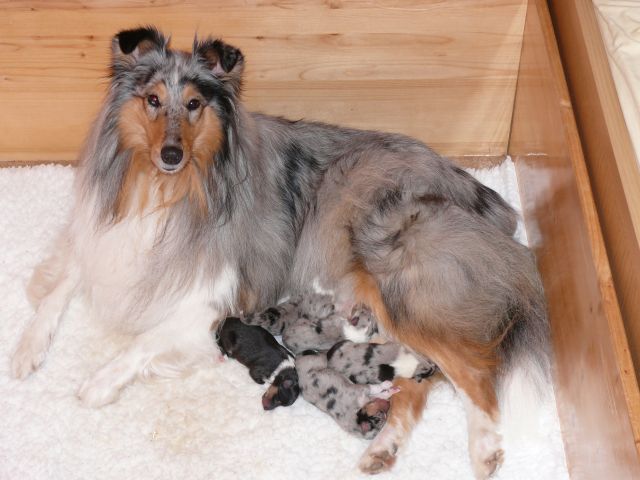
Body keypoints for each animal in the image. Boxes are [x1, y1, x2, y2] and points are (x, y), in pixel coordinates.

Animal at [10, 27, 549, 479]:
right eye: (152, 100)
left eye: (194, 104)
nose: (171, 154)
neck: (167, 189)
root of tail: (493, 206)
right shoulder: (107, 240)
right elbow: (63, 284)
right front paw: (26, 349)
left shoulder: (212, 298)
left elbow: (141, 342)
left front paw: (98, 383)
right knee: (417, 383)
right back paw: (382, 448)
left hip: (399, 284)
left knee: (474, 373)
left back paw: (485, 448)